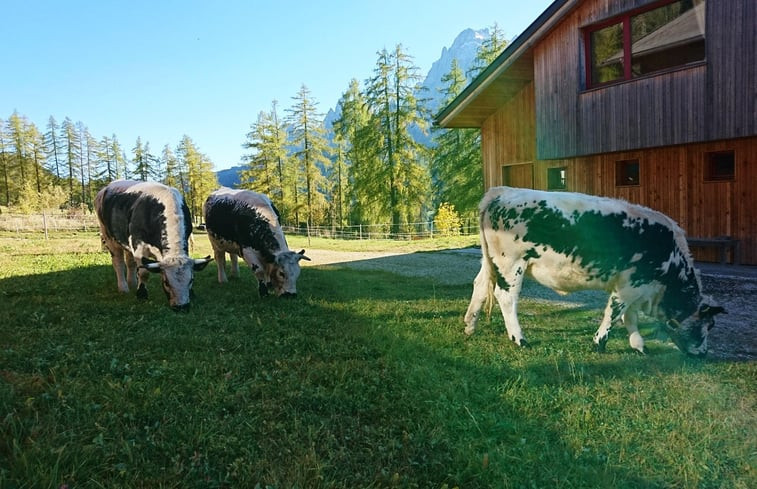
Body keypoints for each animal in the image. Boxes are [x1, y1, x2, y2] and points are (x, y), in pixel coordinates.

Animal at [96, 180, 213, 312]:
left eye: (191, 280)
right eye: (166, 282)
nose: (181, 307)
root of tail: (106, 187)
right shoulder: (138, 246)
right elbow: (144, 272)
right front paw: (141, 294)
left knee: (130, 262)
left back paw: (132, 283)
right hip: (108, 237)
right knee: (118, 263)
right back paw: (123, 288)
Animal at [464, 185, 724, 356]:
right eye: (709, 325)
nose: (703, 354)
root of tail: (502, 191)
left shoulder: (636, 286)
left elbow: (630, 316)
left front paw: (639, 345)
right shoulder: (629, 286)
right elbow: (614, 313)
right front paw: (599, 343)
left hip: (490, 261)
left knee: (480, 286)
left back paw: (469, 327)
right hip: (511, 263)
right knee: (506, 297)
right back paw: (520, 339)